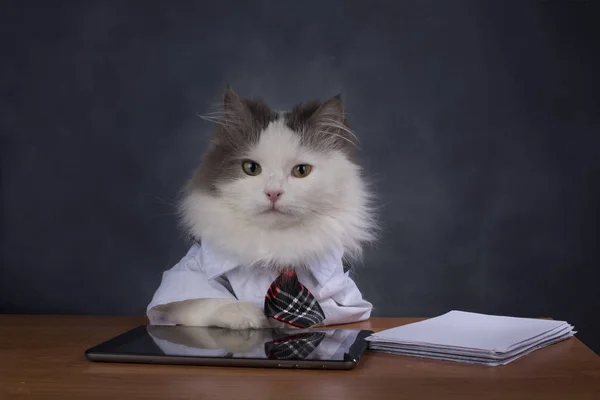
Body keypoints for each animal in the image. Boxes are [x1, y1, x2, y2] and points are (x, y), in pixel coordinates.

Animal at [146, 87, 378, 328]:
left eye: (301, 171)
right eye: (251, 168)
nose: (273, 193)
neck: (274, 248)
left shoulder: (346, 298)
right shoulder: (185, 276)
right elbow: (202, 300)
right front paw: (249, 316)